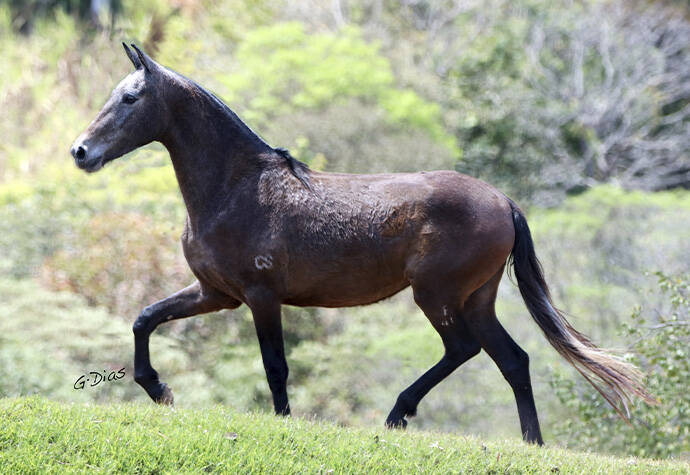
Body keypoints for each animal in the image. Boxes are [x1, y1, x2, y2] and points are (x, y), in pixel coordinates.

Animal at [71, 44, 656, 446]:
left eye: (130, 97)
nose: (80, 152)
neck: (239, 187)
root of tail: (503, 201)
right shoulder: (216, 293)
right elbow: (145, 318)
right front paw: (158, 389)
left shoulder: (261, 296)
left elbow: (275, 365)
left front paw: (284, 422)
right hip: (476, 298)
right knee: (512, 359)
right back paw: (531, 444)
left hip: (437, 296)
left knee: (463, 349)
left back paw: (398, 414)